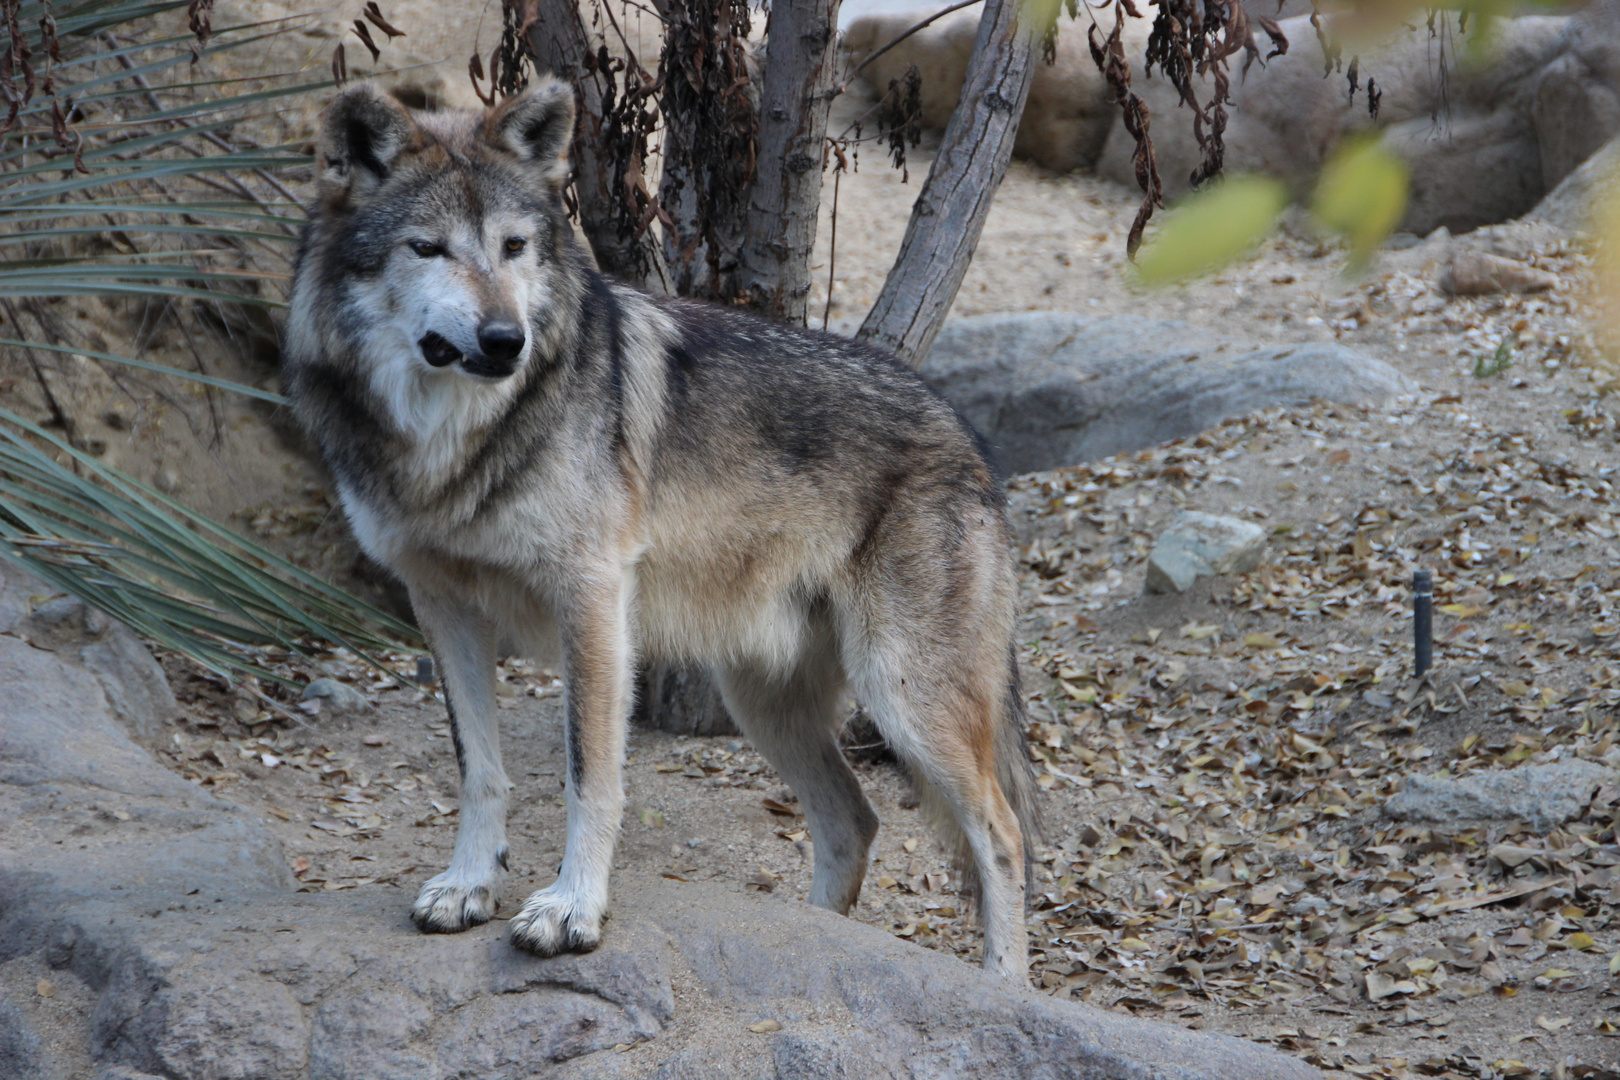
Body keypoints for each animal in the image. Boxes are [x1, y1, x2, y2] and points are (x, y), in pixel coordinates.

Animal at [280, 80, 1036, 984]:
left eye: (513, 247)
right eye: (427, 249)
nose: (505, 340)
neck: (452, 445)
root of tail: (969, 435)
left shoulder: (592, 599)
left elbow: (589, 774)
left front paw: (572, 909)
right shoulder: (441, 604)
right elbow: (480, 768)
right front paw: (469, 886)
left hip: (902, 695)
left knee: (1003, 834)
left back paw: (1005, 987)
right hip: (765, 703)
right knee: (855, 822)